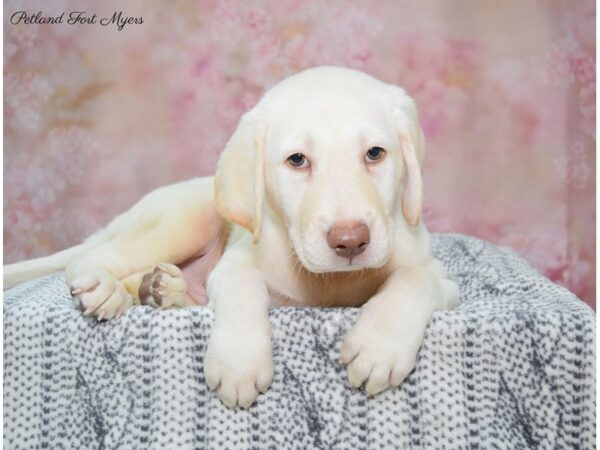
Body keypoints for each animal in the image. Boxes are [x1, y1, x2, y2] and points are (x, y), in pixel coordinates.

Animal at [3, 66, 460, 408]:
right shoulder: (236, 261)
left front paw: (380, 346)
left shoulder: (443, 281)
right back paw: (105, 289)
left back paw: (160, 288)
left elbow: (413, 278)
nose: (350, 241)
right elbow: (243, 287)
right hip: (188, 216)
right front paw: (240, 363)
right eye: (297, 160)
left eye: (376, 154)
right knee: (93, 257)